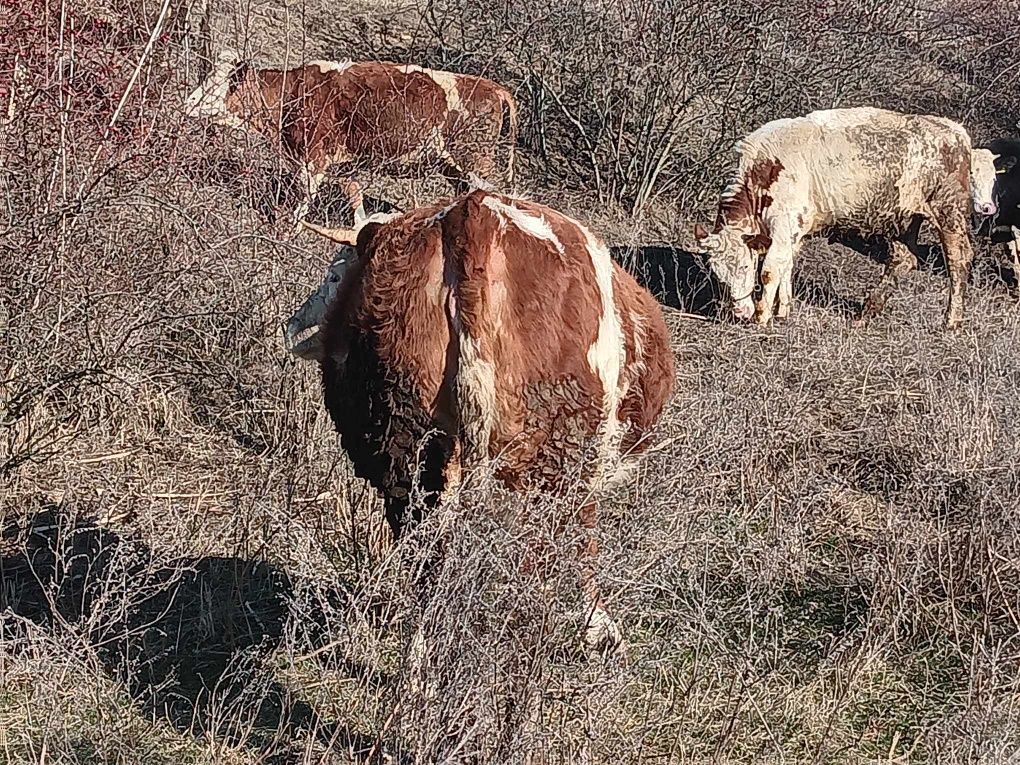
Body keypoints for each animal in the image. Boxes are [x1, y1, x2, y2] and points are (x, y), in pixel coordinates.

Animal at [185, 49, 518, 230]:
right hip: (454, 169)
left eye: (218, 86)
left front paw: (286, 234)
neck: (293, 94)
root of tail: (494, 88)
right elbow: (355, 197)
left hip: (475, 162)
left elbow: (302, 202)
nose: (187, 102)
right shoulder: (345, 165)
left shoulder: (313, 159)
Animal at [285, 188, 677, 648]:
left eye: (334, 275)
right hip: (556, 454)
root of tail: (473, 216)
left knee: (426, 541)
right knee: (548, 542)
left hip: (406, 442)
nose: (292, 326)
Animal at [693, 106, 995, 328]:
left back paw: (951, 321)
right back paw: (866, 313)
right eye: (717, 274)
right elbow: (786, 266)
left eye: (745, 266)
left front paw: (762, 316)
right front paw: (783, 311)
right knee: (904, 259)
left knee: (958, 258)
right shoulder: (793, 231)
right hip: (905, 218)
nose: (739, 312)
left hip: (949, 211)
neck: (764, 170)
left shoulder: (783, 224)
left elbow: (770, 270)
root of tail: (954, 130)